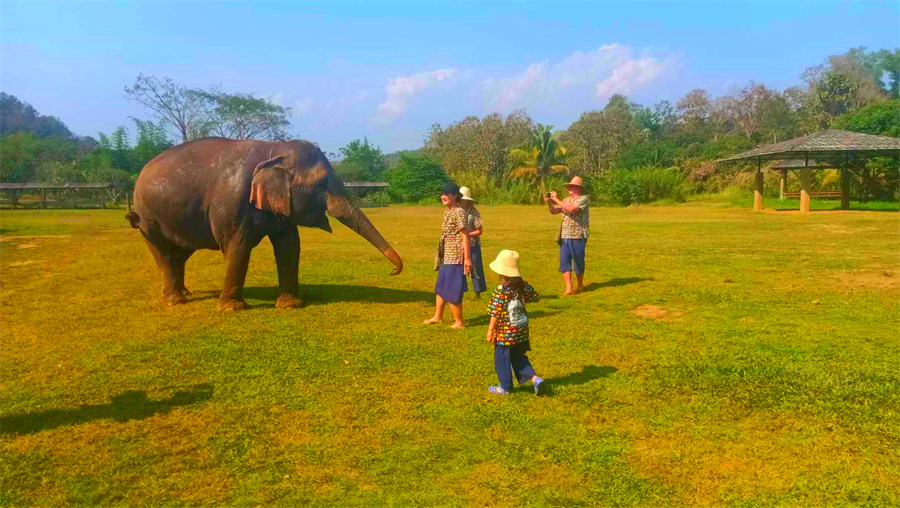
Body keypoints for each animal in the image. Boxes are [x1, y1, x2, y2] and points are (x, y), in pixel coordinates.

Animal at [127, 137, 404, 310]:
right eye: (322, 183)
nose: (394, 270)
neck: (273, 150)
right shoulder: (231, 202)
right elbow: (237, 247)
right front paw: (231, 308)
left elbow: (289, 246)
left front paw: (290, 305)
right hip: (147, 218)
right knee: (163, 252)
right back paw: (175, 300)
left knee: (179, 254)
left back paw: (184, 293)